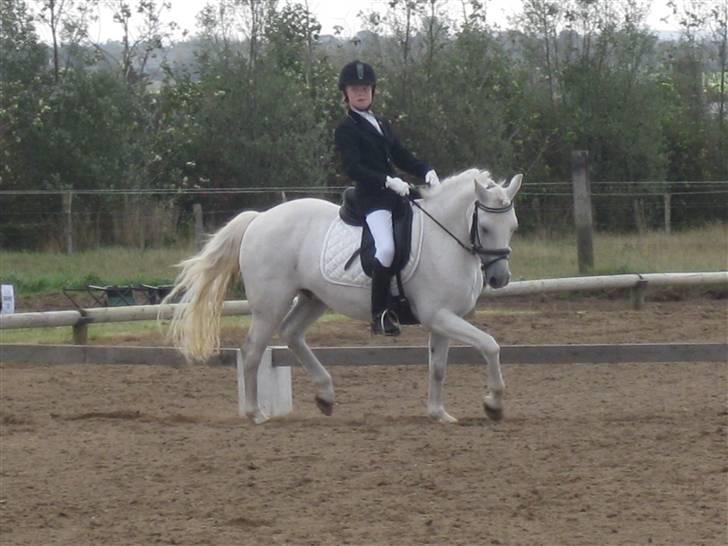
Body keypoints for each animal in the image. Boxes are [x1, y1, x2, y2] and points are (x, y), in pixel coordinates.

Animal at [163, 168, 523, 425]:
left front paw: (439, 414)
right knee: (252, 350)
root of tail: (259, 219)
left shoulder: (444, 319)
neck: (445, 238)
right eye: (485, 228)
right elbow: (490, 345)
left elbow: (438, 366)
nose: (499, 278)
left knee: (292, 334)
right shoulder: (439, 316)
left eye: (513, 227)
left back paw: (325, 395)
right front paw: (494, 404)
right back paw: (256, 414)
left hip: (312, 298)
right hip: (270, 305)